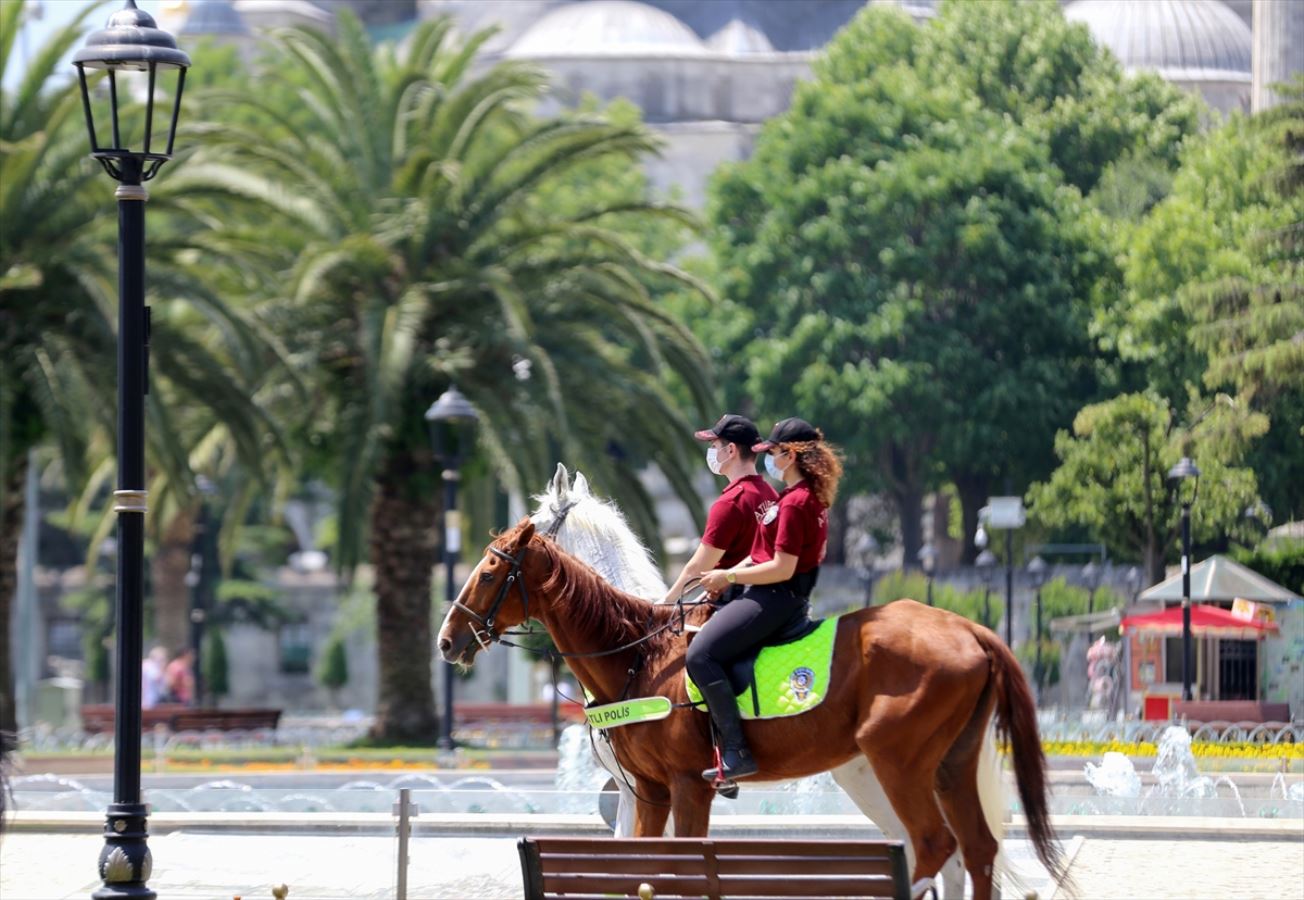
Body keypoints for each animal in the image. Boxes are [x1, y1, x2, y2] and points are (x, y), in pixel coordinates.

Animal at [443, 519, 1064, 897]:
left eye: (491, 572)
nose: (447, 641)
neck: (641, 655)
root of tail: (970, 628)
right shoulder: (651, 791)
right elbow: (645, 868)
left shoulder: (688, 786)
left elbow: (680, 868)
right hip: (945, 767)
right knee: (975, 850)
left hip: (898, 764)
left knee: (934, 846)